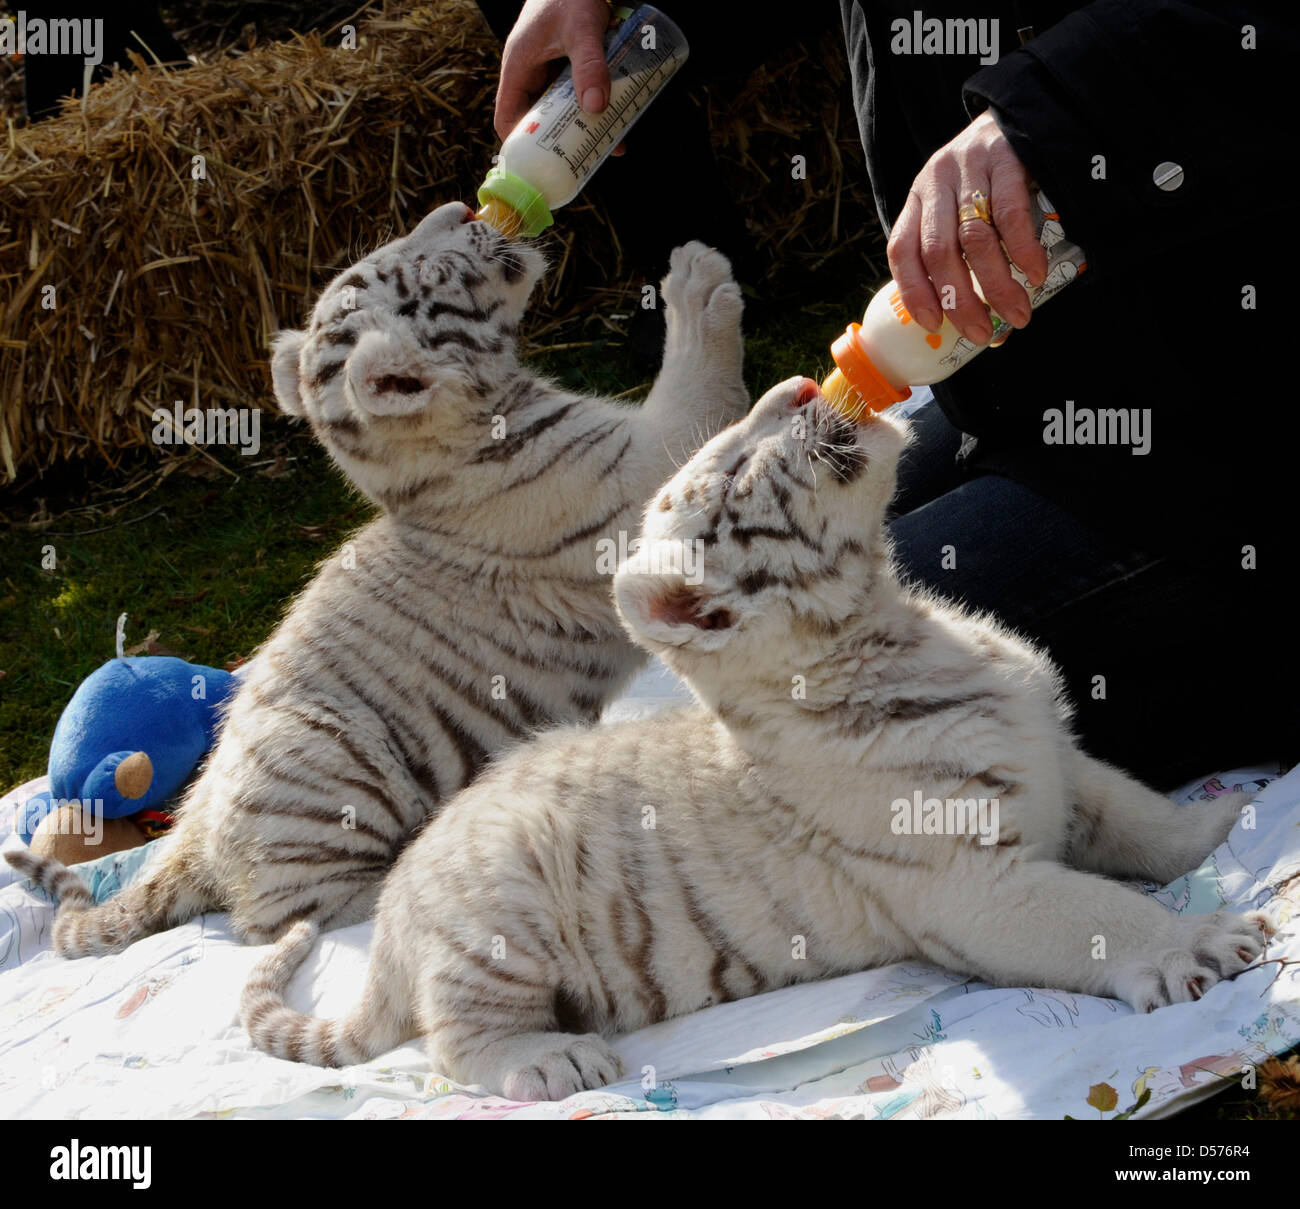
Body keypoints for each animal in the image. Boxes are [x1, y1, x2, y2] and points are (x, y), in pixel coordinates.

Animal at [5, 203, 749, 966]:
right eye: (421, 266)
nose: (461, 207)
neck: (444, 453)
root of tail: (189, 838)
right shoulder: (638, 471)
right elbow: (696, 390)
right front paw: (696, 278)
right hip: (324, 762)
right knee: (289, 917)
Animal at [238, 373, 1271, 1101]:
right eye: (732, 469)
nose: (805, 386)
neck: (891, 629)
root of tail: (393, 915)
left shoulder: (1057, 760)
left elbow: (1140, 816)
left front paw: (1229, 824)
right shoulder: (973, 885)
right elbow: (1097, 915)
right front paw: (1197, 941)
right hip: (495, 922)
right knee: (458, 1039)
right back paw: (551, 1060)